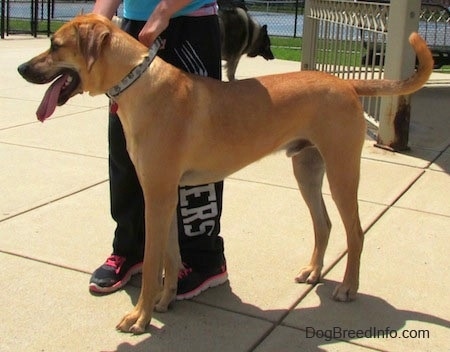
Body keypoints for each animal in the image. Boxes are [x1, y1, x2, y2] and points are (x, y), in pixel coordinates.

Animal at [16, 13, 432, 332]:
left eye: (55, 44)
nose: (20, 68)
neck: (138, 83)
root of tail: (345, 82)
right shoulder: (166, 194)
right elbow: (171, 256)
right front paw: (166, 300)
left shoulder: (157, 195)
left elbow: (152, 263)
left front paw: (140, 317)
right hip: (307, 167)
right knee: (324, 223)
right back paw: (313, 271)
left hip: (342, 169)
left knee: (355, 232)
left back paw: (347, 288)